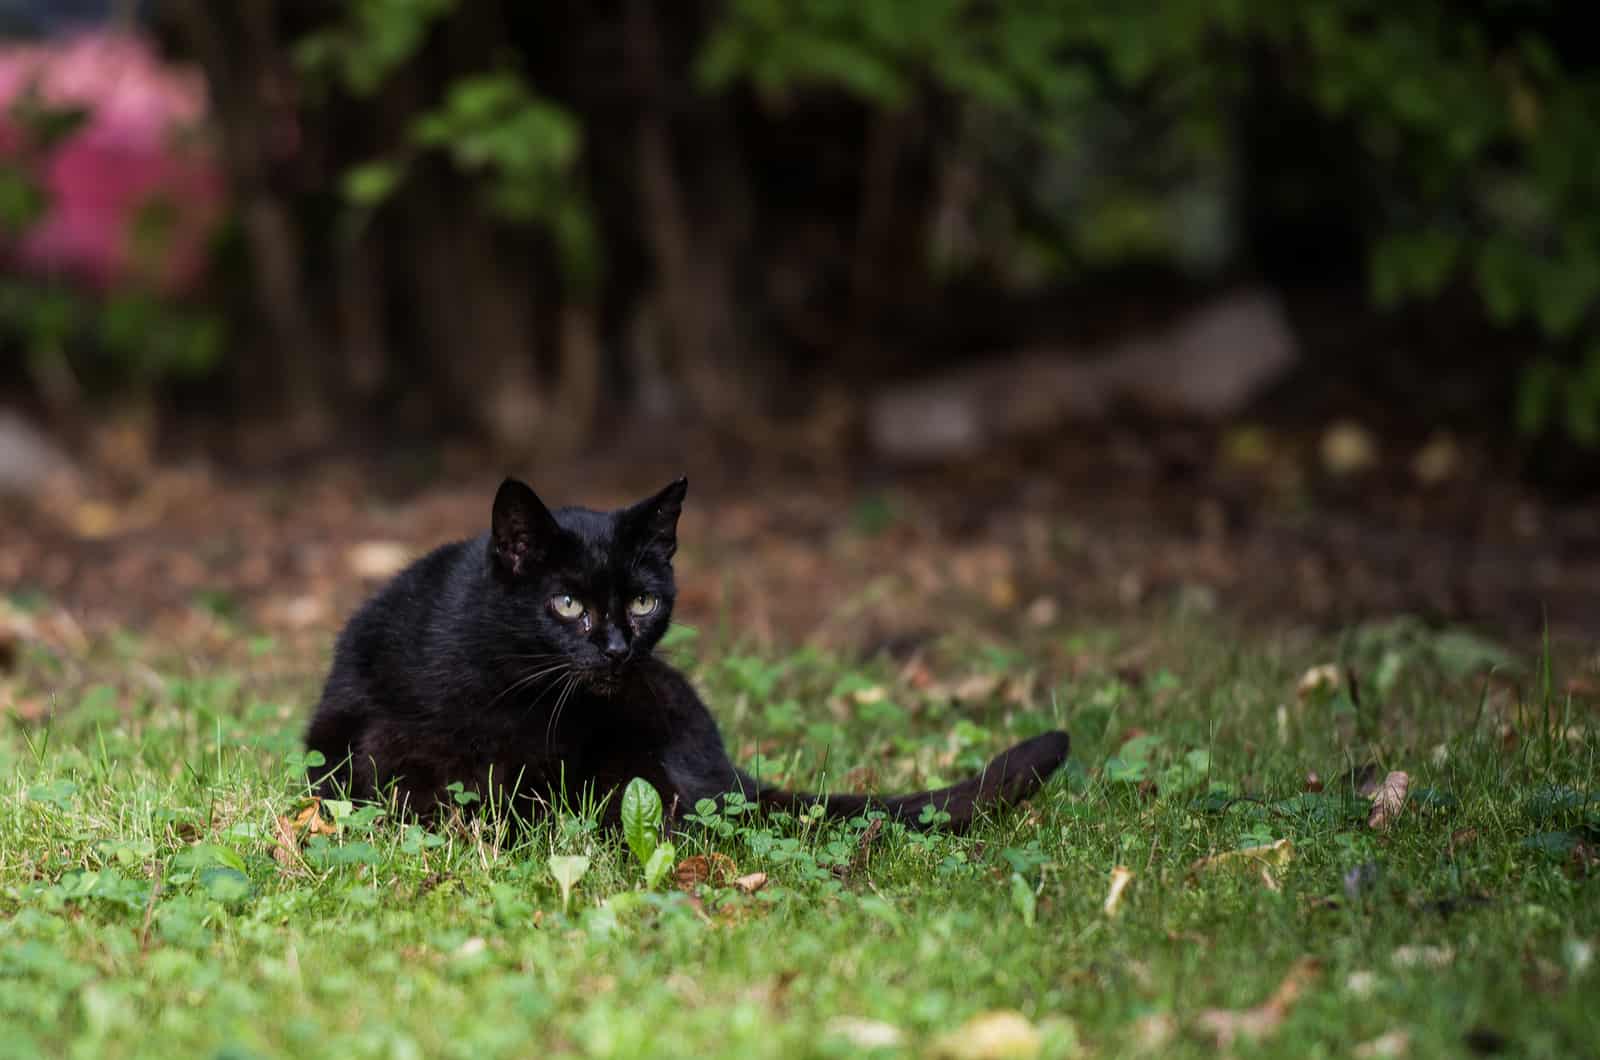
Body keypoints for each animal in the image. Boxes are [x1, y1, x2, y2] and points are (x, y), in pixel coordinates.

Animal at [304, 477, 1068, 832]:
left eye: (643, 603)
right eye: (568, 605)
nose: (617, 649)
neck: (502, 684)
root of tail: (733, 770)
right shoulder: (354, 731)